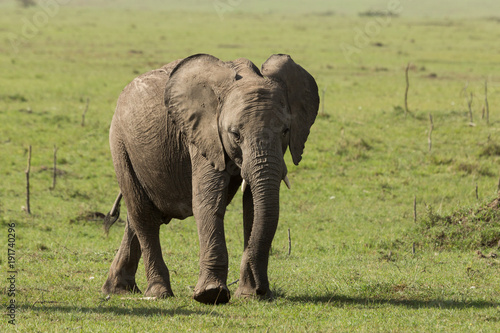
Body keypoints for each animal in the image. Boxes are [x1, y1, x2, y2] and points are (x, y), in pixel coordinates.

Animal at [102, 52, 318, 304]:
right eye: (235, 134)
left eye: (285, 131)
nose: (261, 290)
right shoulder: (202, 134)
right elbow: (208, 201)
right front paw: (211, 295)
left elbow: (252, 206)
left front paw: (247, 295)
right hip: (120, 144)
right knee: (143, 215)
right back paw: (158, 293)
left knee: (135, 219)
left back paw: (119, 290)